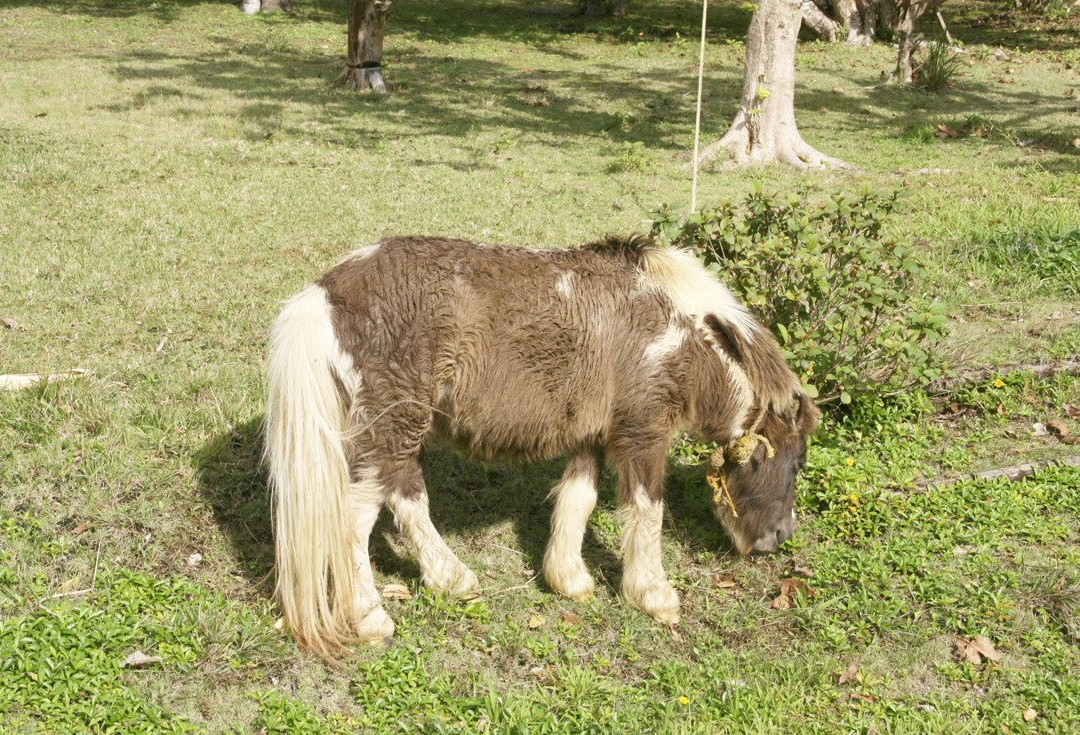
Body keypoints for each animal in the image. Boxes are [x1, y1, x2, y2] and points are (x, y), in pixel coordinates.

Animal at [263, 235, 816, 651]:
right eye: (795, 463)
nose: (780, 537)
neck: (680, 332)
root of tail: (326, 292)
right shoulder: (643, 435)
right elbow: (647, 510)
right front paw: (654, 595)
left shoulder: (591, 436)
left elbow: (579, 498)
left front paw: (568, 579)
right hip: (393, 427)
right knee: (356, 520)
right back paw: (370, 618)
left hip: (397, 433)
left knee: (407, 498)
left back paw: (452, 580)